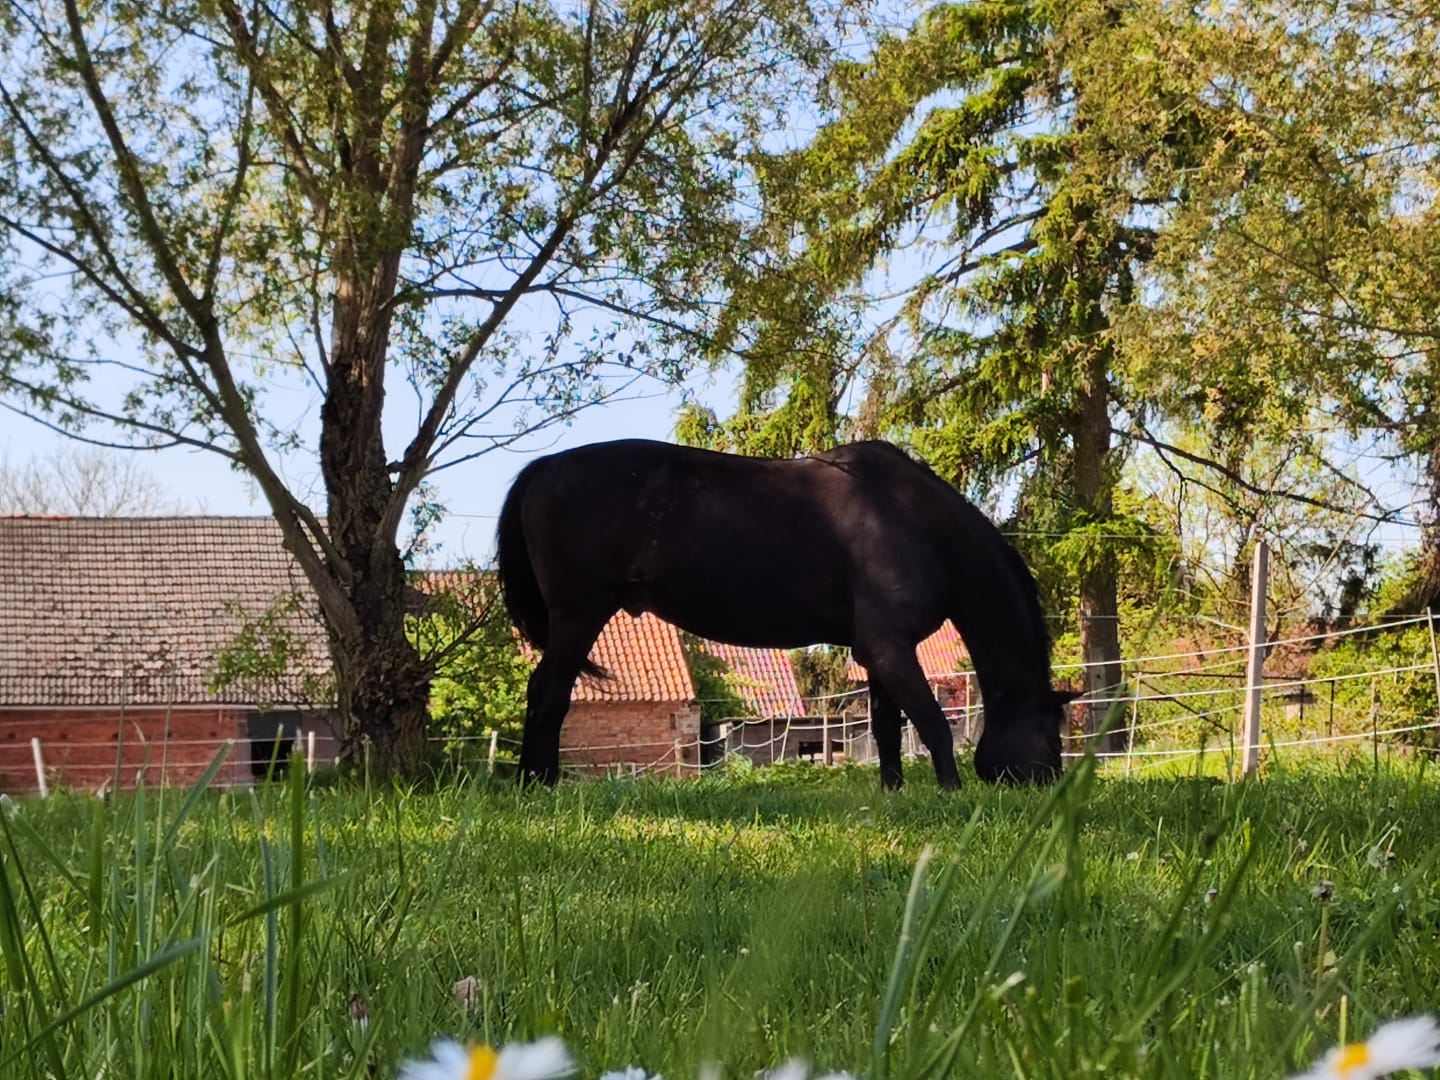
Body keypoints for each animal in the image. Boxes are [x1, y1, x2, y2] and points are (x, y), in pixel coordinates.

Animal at [495, 439, 1074, 790]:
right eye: (1052, 739)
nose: (1051, 785)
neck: (913, 520)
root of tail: (545, 468)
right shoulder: (891, 649)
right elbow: (932, 723)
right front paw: (951, 793)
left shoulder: (880, 654)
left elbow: (888, 729)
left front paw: (895, 794)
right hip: (578, 616)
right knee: (550, 694)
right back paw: (539, 783)